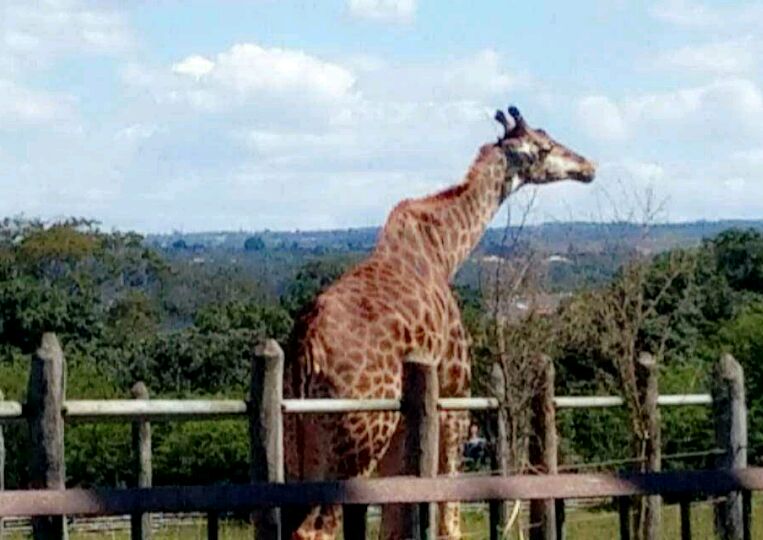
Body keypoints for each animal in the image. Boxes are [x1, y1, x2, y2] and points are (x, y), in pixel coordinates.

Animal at [283, 106, 596, 539]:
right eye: (545, 146)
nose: (588, 167)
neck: (445, 252)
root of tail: (306, 344)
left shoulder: (405, 425)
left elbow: (397, 521)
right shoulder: (454, 396)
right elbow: (448, 516)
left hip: (299, 440)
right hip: (358, 437)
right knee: (317, 528)